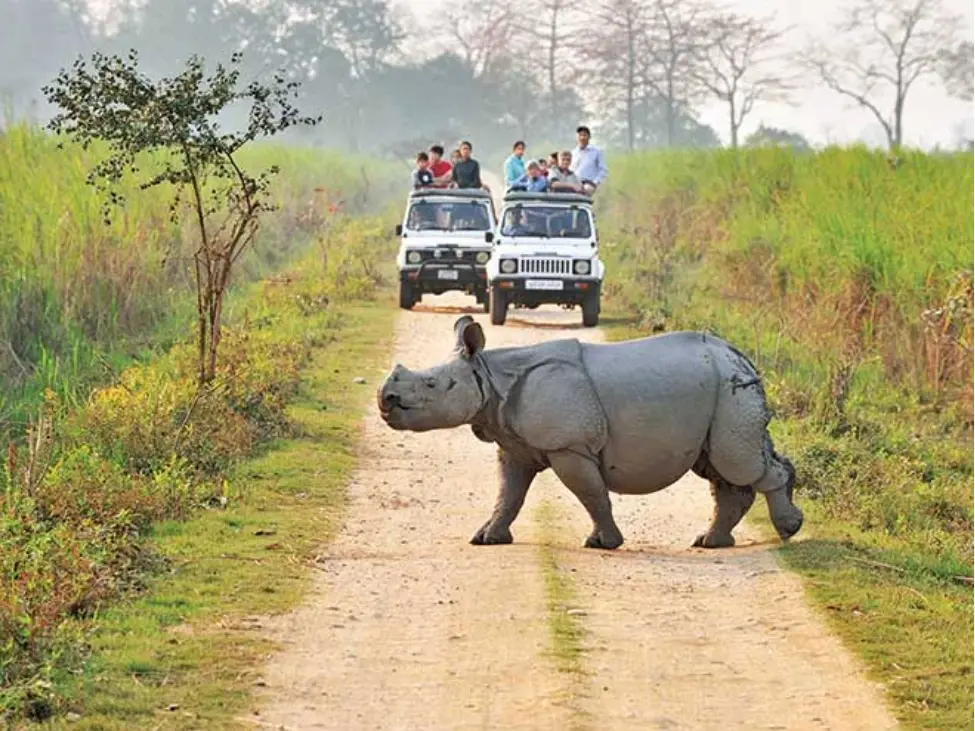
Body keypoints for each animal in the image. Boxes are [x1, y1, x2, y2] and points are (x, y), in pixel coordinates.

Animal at [377, 316, 802, 550]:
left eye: (432, 384)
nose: (386, 399)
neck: (489, 376)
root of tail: (740, 354)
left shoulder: (570, 446)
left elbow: (591, 494)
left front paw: (603, 543)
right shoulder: (514, 445)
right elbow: (509, 494)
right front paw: (486, 538)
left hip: (730, 389)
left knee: (738, 463)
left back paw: (787, 530)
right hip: (722, 391)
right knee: (720, 466)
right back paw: (711, 543)